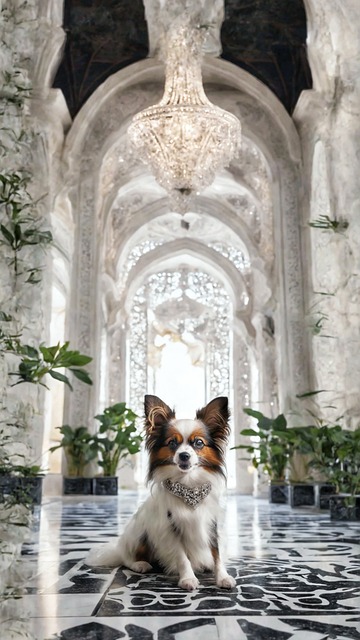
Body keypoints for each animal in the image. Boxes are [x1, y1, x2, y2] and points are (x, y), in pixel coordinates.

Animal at [86, 392, 235, 592]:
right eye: (172, 443)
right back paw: (140, 564)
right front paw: (188, 578)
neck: (188, 486)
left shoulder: (211, 525)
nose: (184, 455)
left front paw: (223, 577)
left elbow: (216, 554)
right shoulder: (170, 528)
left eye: (198, 443)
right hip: (138, 532)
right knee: (126, 558)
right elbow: (182, 557)